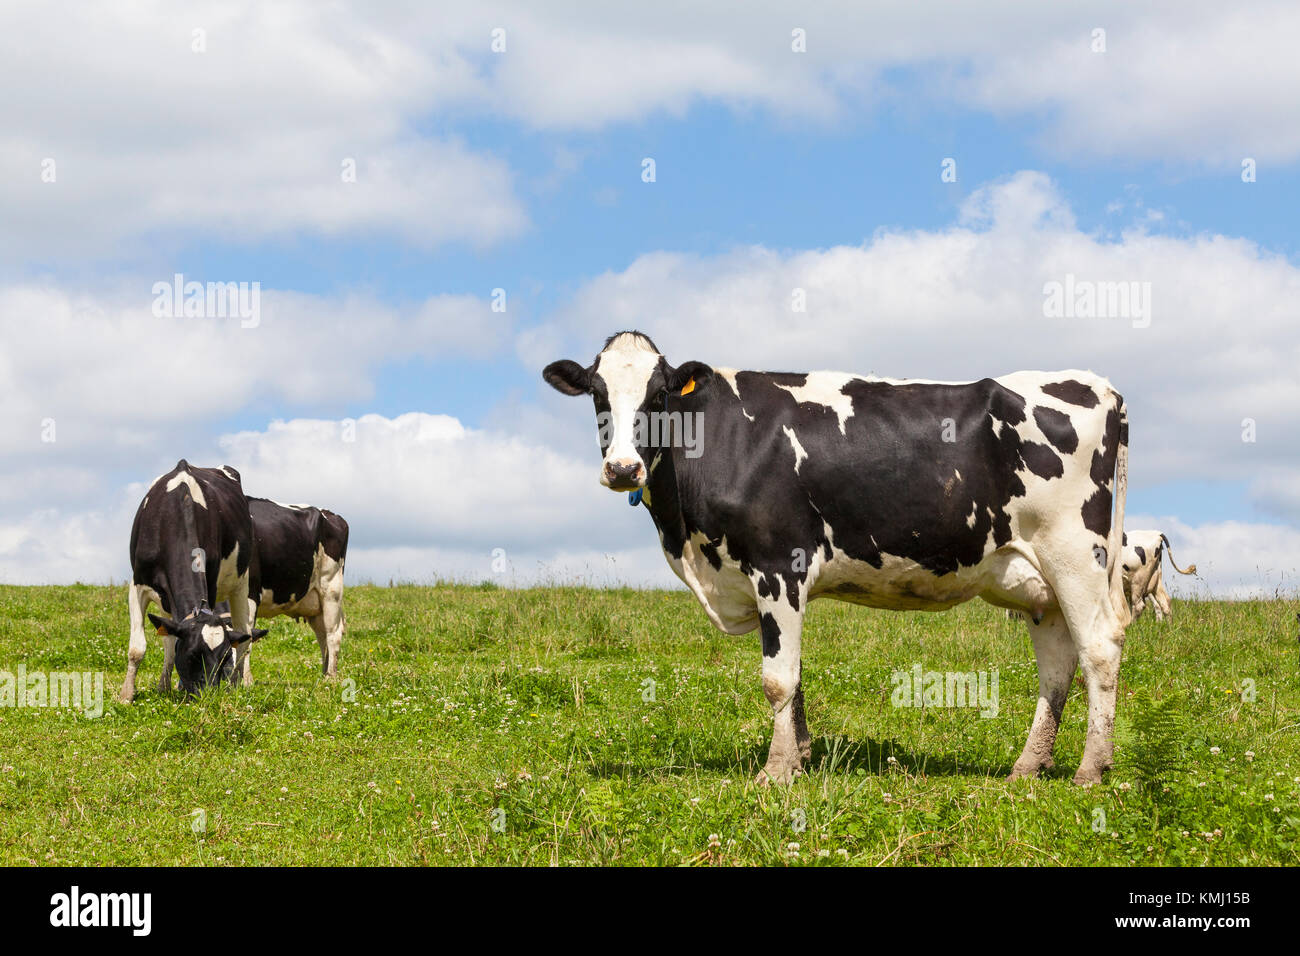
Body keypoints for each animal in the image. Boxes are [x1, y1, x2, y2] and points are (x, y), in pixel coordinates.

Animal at [121, 460, 268, 701]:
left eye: (223, 658)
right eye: (192, 655)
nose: (207, 695)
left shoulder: (211, 582)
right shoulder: (138, 586)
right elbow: (138, 648)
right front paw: (126, 695)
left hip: (241, 584)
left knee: (244, 637)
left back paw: (237, 684)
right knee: (168, 641)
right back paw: (164, 685)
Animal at [247, 497, 349, 679]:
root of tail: (330, 514)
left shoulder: (250, 591)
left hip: (331, 589)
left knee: (333, 634)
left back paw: (330, 677)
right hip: (315, 604)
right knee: (322, 635)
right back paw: (324, 674)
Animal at [544, 331, 1131, 786]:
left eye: (660, 393)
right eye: (597, 393)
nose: (624, 469)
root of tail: (1101, 386)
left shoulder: (778, 564)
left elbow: (777, 678)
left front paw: (776, 771)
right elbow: (795, 672)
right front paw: (800, 757)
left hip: (1075, 554)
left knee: (1099, 649)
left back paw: (1091, 769)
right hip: (1038, 581)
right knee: (1057, 666)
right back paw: (1027, 767)